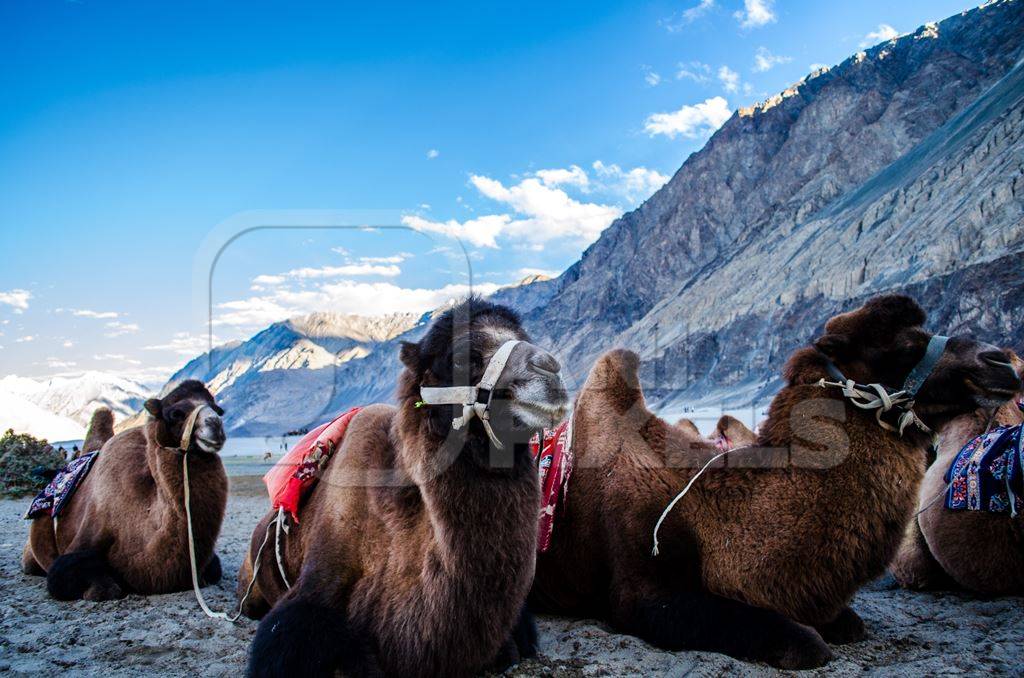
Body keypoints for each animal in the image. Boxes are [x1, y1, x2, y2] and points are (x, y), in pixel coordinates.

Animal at [19, 383, 229, 602]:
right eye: (176, 413)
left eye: (218, 409)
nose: (215, 425)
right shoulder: (88, 535)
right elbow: (70, 578)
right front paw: (100, 587)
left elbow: (214, 569)